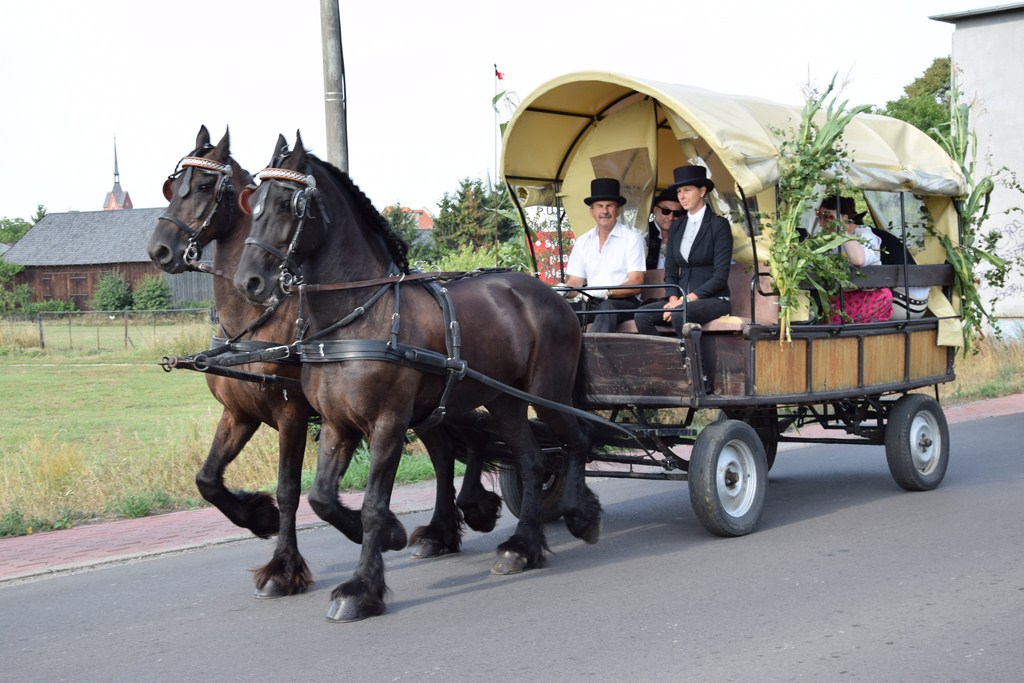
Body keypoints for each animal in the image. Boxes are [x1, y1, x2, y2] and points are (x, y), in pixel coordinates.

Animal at [232, 133, 598, 626]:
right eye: (253, 204)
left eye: (290, 204)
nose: (248, 282)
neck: (361, 316)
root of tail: (554, 295)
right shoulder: (338, 423)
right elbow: (321, 497)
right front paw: (387, 535)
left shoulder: (387, 423)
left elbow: (372, 504)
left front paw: (362, 588)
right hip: (504, 401)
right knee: (533, 460)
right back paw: (522, 547)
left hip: (547, 394)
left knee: (576, 442)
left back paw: (580, 516)